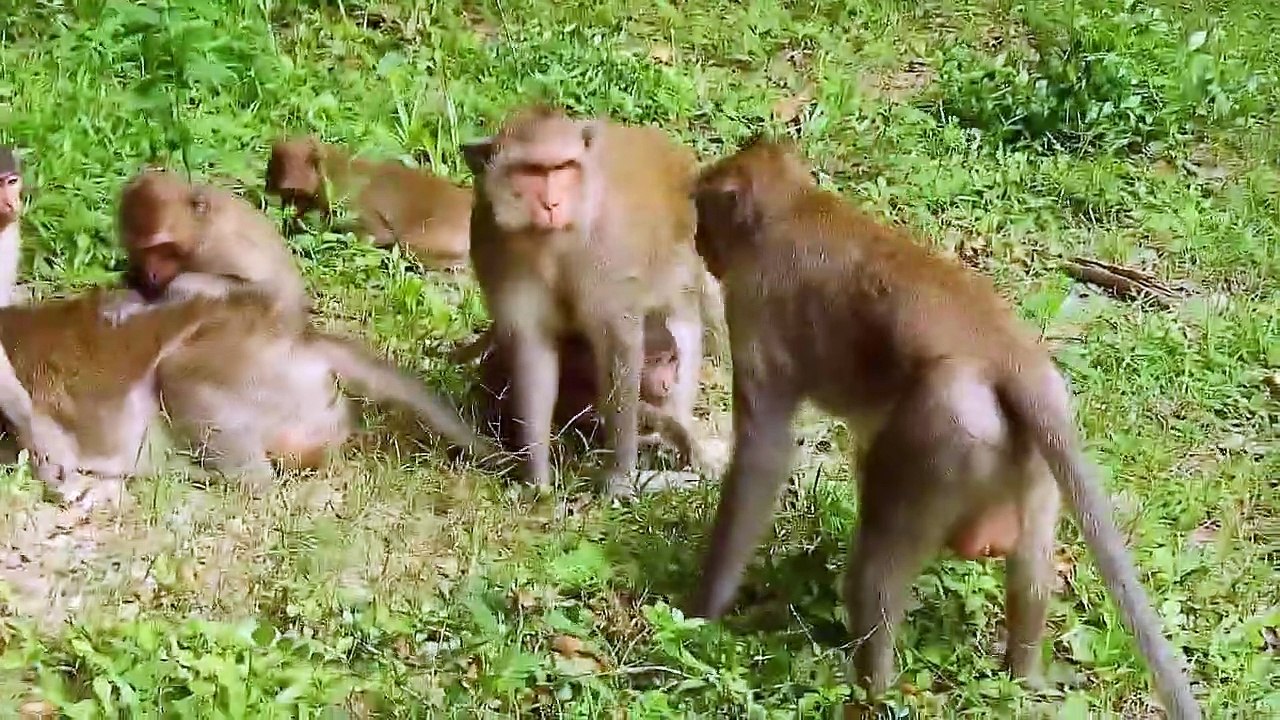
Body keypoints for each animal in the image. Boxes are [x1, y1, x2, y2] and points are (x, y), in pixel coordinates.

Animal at [462, 106, 707, 496]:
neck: (553, 242)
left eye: (563, 167)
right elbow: (533, 349)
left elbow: (619, 348)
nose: (551, 204)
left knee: (683, 323)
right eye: (532, 171)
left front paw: (620, 476)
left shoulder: (609, 255)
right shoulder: (491, 242)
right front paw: (537, 479)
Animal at [686, 138, 1200, 719]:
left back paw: (873, 692)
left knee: (874, 572)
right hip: (1031, 461)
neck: (795, 206)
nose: (699, 241)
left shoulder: (754, 301)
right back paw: (1022, 676)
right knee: (1032, 568)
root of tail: (1013, 357)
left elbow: (764, 452)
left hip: (943, 434)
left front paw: (701, 610)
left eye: (702, 209)